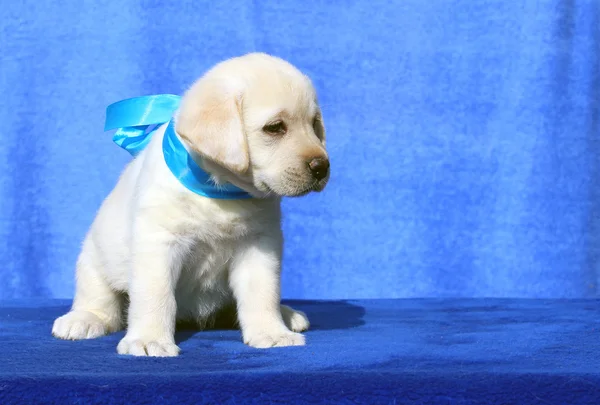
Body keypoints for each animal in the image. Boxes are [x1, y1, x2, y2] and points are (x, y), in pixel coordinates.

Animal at [52, 52, 330, 356]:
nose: (322, 167)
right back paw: (83, 320)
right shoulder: (158, 243)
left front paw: (271, 332)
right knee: (101, 302)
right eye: (275, 127)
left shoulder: (259, 245)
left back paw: (287, 315)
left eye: (314, 124)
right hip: (94, 260)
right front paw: (149, 339)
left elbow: (262, 293)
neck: (220, 192)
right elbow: (156, 295)